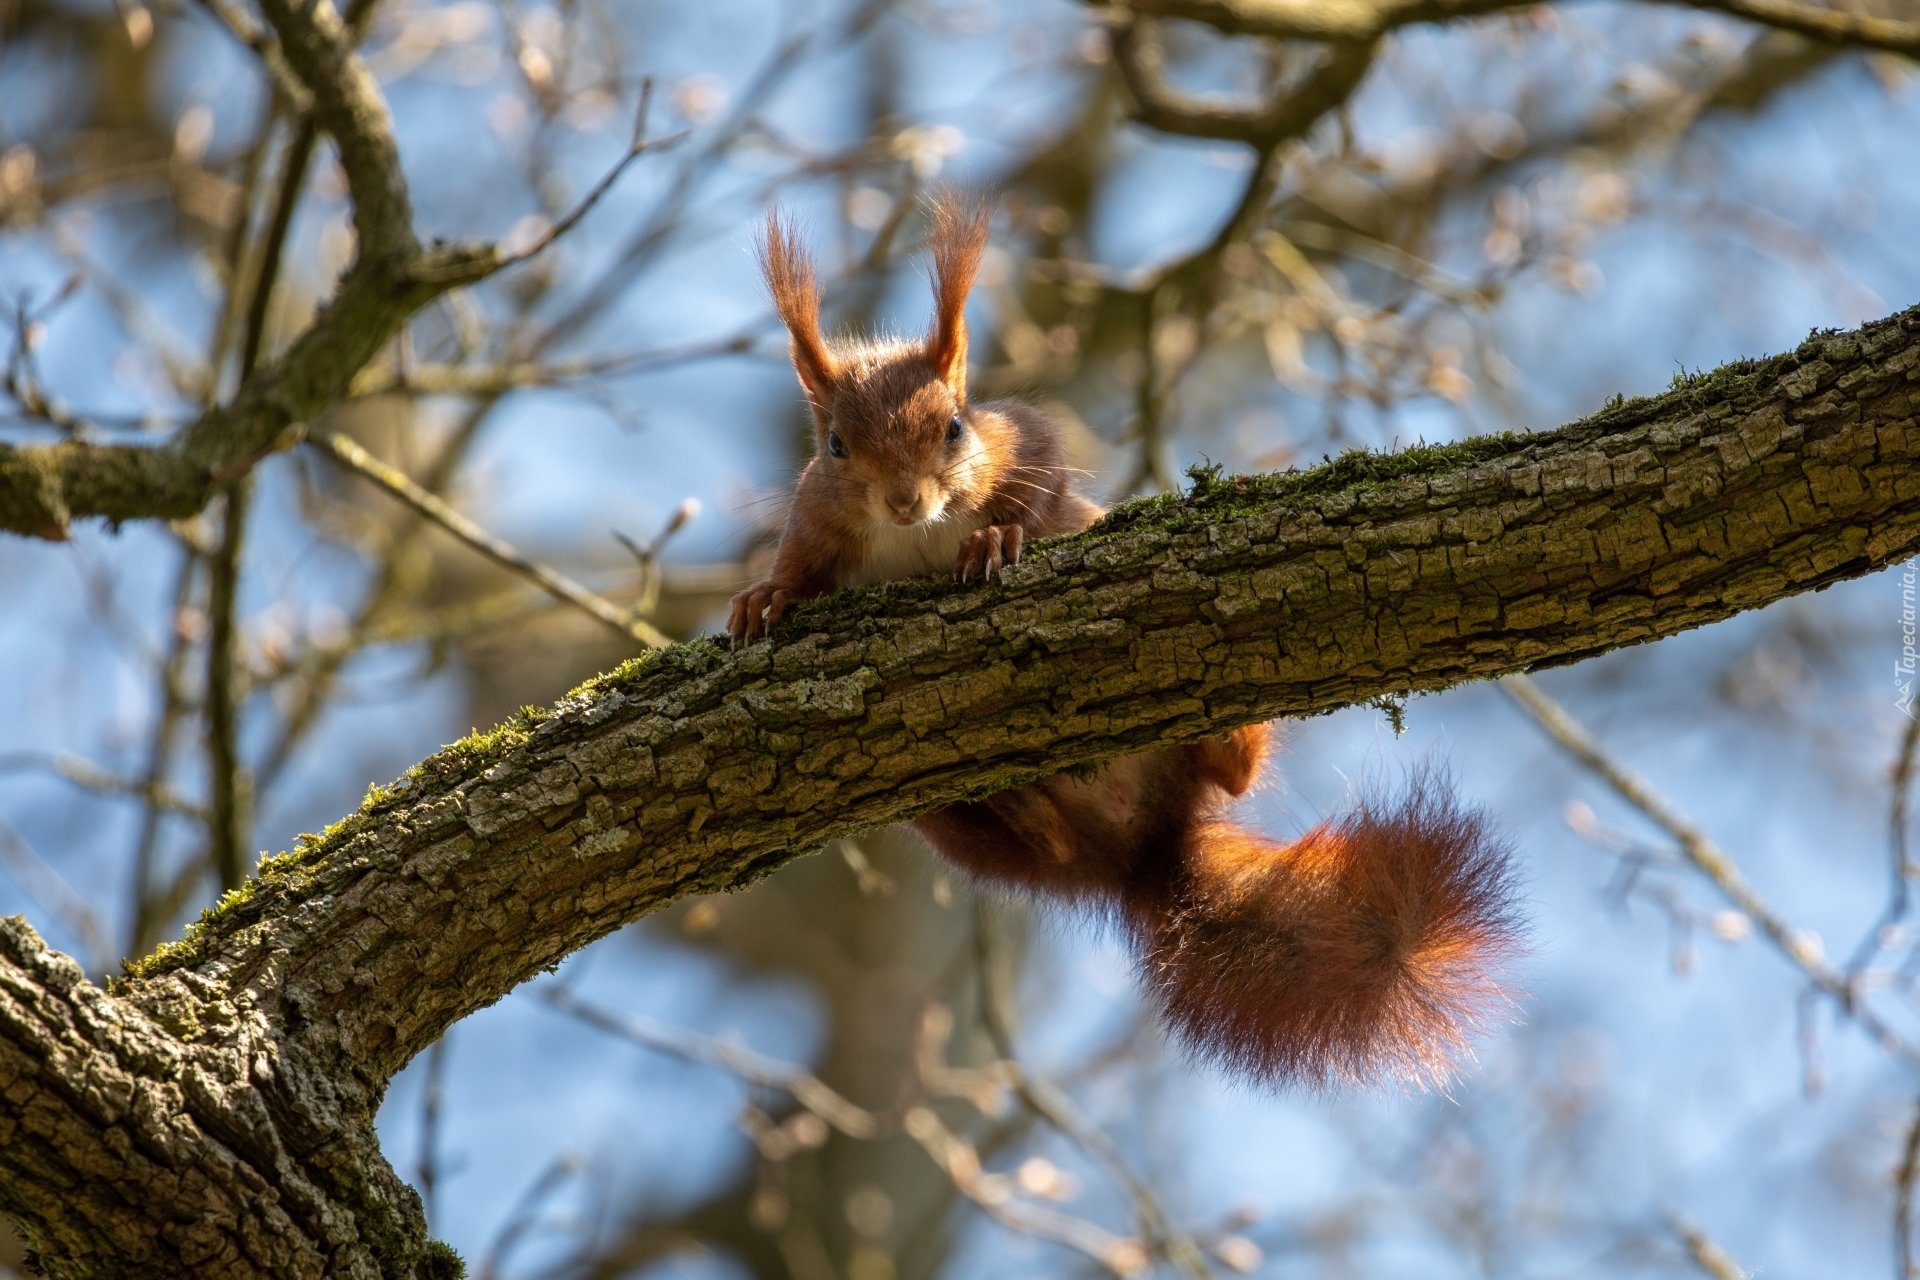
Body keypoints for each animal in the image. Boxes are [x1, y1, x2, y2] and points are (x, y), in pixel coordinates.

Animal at [725, 195, 1520, 1090]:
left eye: (956, 428)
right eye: (835, 446)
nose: (904, 501)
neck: (913, 538)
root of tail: (1141, 848)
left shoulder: (1024, 440)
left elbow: (1040, 480)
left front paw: (995, 539)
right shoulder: (815, 517)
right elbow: (796, 569)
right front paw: (762, 599)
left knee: (1235, 778)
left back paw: (1224, 739)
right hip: (939, 817)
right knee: (1038, 841)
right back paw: (1031, 813)